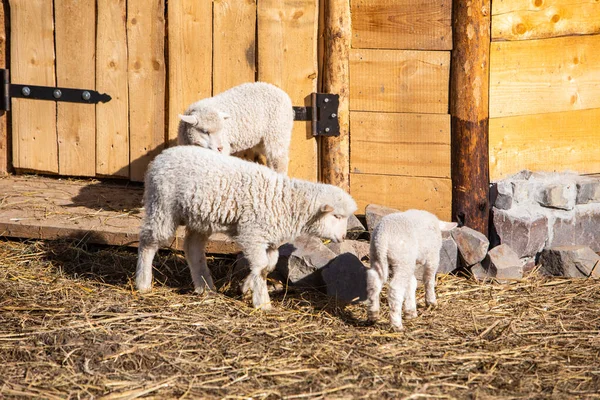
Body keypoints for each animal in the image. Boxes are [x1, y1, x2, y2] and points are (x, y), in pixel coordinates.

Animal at [136, 145, 356, 310]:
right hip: (162, 206)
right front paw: (262, 302)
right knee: (148, 242)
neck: (288, 203)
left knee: (192, 248)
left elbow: (268, 266)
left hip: (199, 218)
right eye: (336, 216)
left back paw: (204, 286)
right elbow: (260, 266)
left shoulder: (270, 240)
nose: (343, 237)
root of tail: (161, 157)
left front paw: (246, 287)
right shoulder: (253, 234)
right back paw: (143, 283)